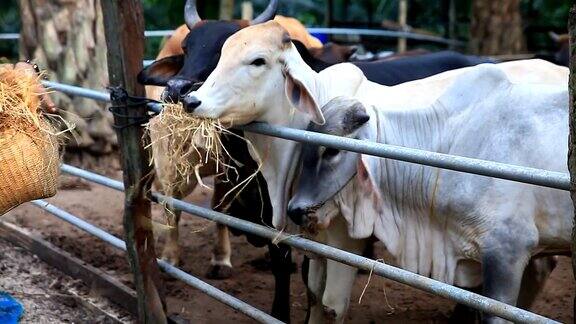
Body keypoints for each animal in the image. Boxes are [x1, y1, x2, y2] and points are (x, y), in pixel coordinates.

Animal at [182, 21, 568, 322]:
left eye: (257, 61)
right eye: (219, 57)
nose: (190, 99)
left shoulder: (345, 236)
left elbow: (331, 304)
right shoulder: (315, 238)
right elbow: (313, 295)